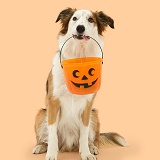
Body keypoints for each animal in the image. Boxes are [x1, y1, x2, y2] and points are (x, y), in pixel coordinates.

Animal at [32, 7, 127, 160]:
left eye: (91, 20)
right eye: (74, 19)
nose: (80, 28)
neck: (78, 56)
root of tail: (67, 145)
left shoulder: (87, 105)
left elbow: (84, 133)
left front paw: (86, 153)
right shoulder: (53, 102)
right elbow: (52, 134)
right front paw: (51, 154)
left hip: (94, 115)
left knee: (92, 139)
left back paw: (92, 148)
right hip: (41, 114)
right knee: (49, 138)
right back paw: (41, 146)